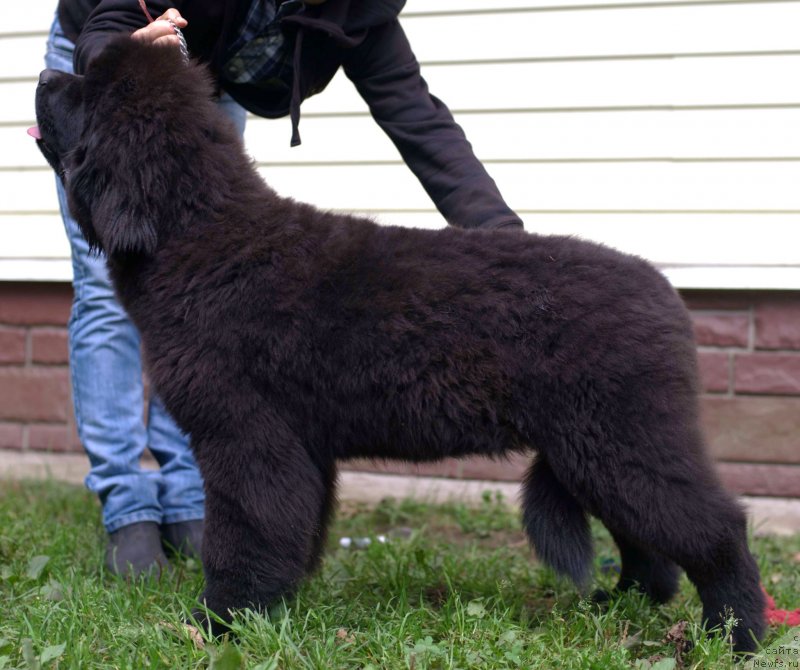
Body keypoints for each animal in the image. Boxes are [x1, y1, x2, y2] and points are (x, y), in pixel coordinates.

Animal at [34, 35, 764, 652]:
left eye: (88, 90)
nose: (43, 75)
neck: (201, 239)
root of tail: (665, 291)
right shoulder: (299, 445)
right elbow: (293, 530)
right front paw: (273, 608)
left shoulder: (246, 435)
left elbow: (245, 532)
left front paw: (219, 623)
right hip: (597, 445)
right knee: (648, 536)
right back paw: (631, 601)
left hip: (621, 438)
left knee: (715, 527)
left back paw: (735, 635)